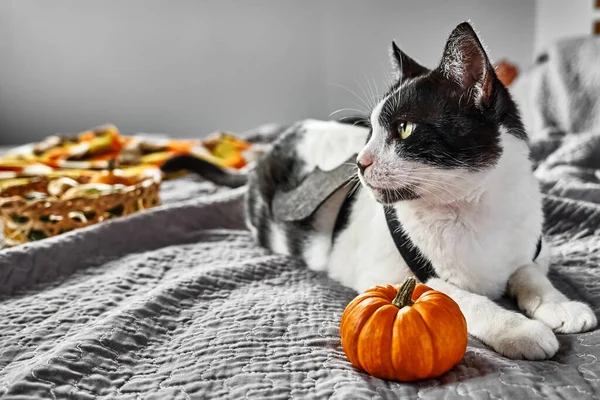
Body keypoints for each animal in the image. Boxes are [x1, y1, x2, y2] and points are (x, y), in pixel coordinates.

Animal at [162, 21, 596, 360]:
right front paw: (519, 329)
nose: (359, 161)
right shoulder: (390, 275)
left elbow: (529, 273)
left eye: (403, 128)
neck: (471, 208)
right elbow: (460, 298)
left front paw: (561, 305)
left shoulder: (532, 247)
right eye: (368, 130)